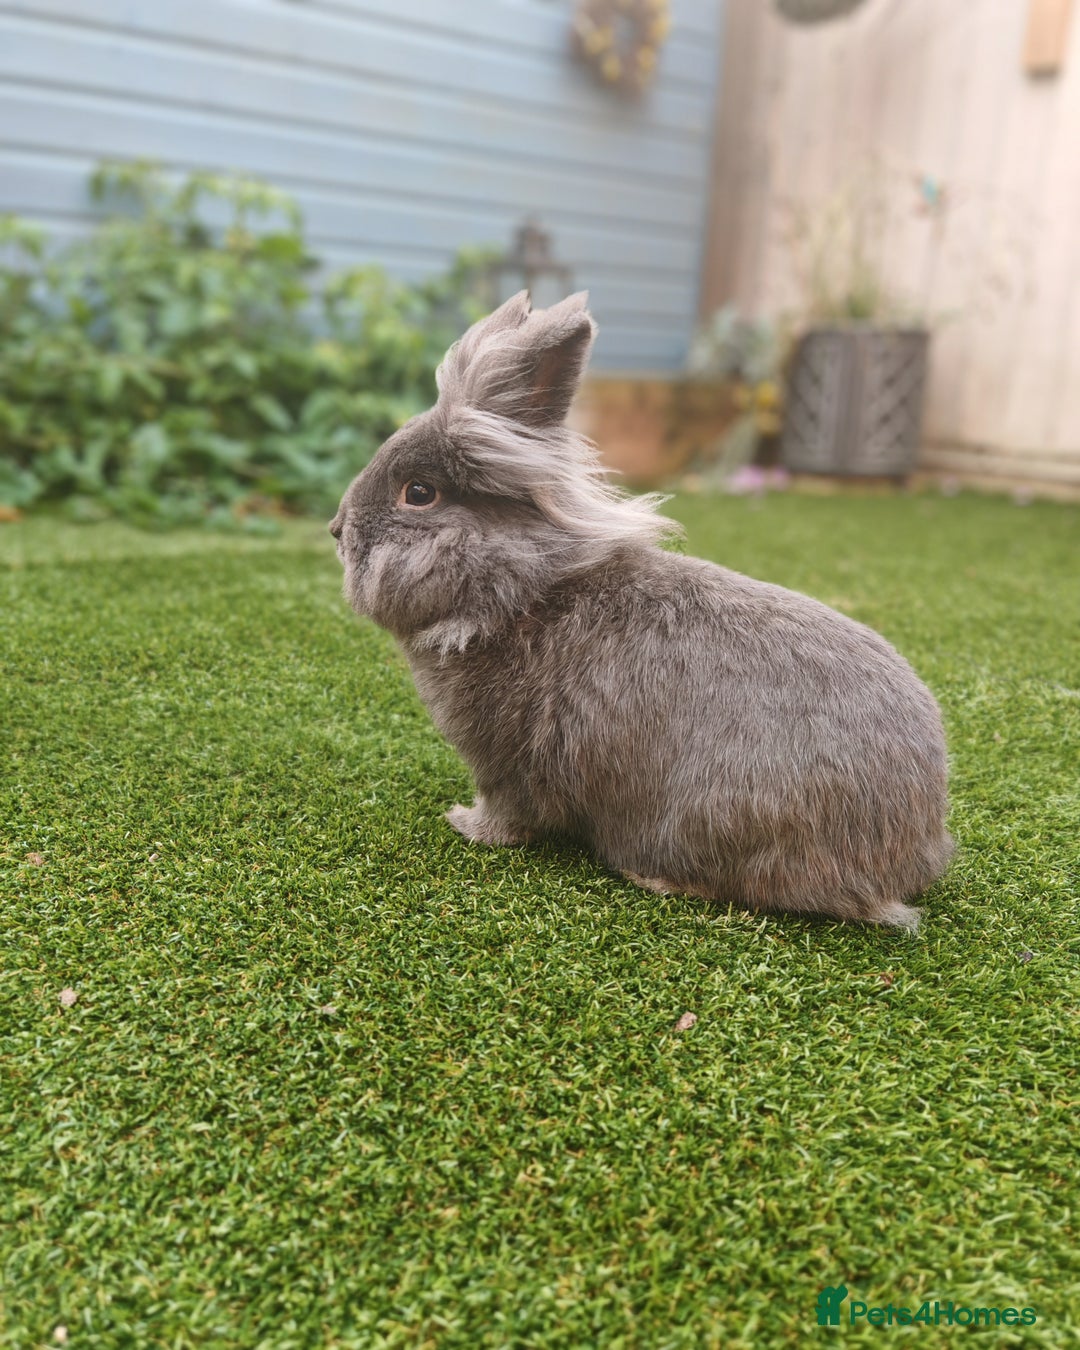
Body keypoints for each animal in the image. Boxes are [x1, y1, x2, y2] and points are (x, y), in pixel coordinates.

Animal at [330, 291, 953, 928]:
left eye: (419, 493)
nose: (334, 528)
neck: (520, 592)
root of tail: (906, 855)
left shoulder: (506, 765)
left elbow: (507, 813)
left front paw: (465, 825)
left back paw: (651, 878)